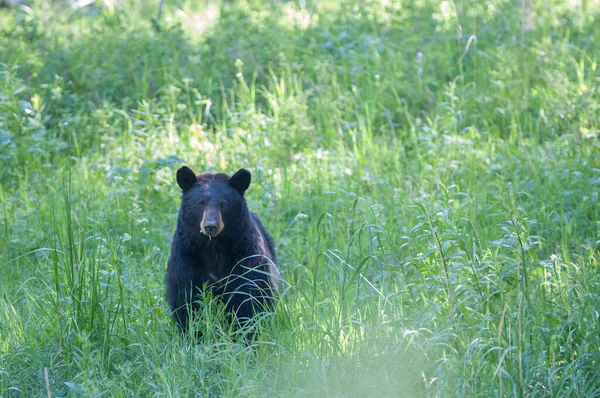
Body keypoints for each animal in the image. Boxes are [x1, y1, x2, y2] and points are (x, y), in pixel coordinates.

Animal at [165, 166, 280, 334]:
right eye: (200, 203)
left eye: (224, 204)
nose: (211, 226)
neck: (214, 246)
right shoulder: (187, 254)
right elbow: (186, 296)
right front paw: (193, 333)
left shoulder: (245, 254)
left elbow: (249, 292)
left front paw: (244, 332)